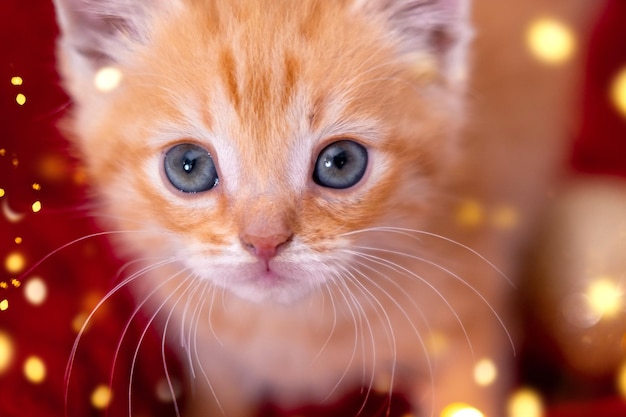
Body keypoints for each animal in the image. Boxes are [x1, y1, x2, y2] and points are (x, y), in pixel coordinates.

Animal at [52, 0, 512, 416]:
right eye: (188, 165)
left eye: (341, 162)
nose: (265, 241)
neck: (291, 330)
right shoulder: (213, 353)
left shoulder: (470, 323)